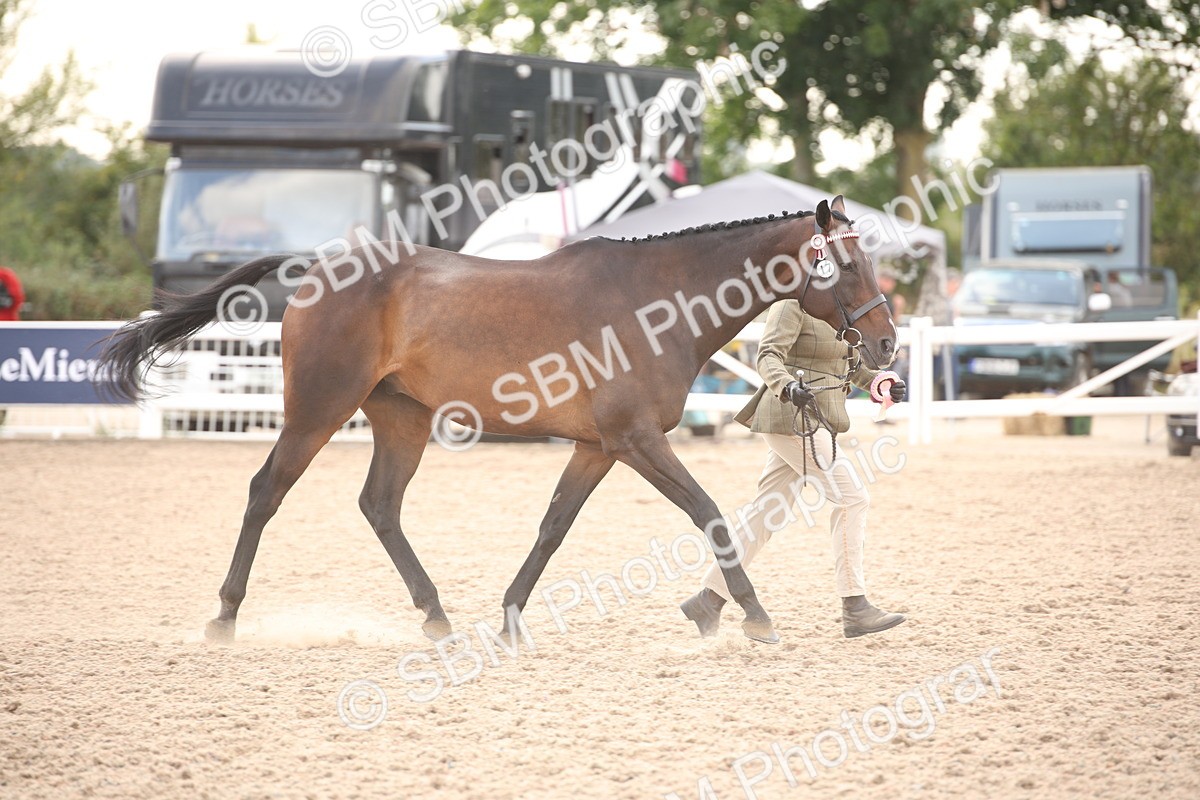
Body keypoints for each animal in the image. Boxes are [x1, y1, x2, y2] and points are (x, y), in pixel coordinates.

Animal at [96, 195, 896, 645]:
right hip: (317, 409)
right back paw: (224, 619)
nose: (886, 346)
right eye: (848, 265)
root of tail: (313, 269)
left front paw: (511, 618)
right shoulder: (636, 439)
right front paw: (752, 617)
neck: (656, 301)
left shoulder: (598, 446)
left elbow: (552, 526)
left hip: (402, 418)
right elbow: (710, 515)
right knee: (267, 492)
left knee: (379, 505)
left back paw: (436, 617)